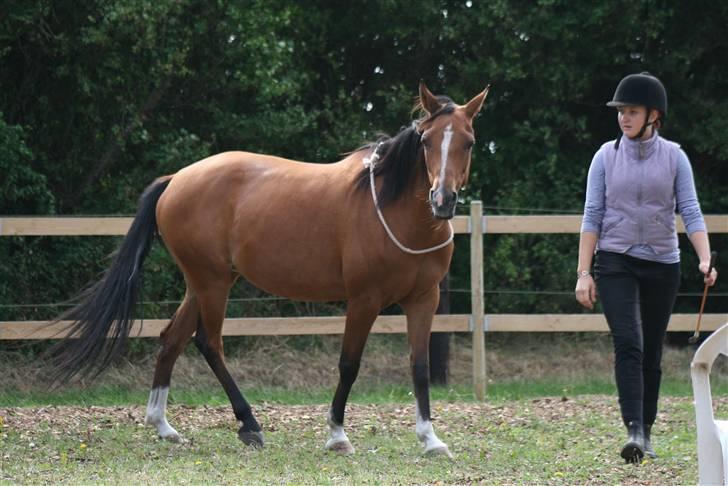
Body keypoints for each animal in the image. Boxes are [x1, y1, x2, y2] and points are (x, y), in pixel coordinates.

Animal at [52, 81, 490, 458]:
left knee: (171, 339)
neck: (391, 207)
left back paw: (163, 426)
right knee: (209, 343)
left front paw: (430, 439)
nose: (443, 200)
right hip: (212, 284)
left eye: (468, 142)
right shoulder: (363, 300)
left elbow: (420, 366)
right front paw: (337, 436)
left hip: (203, 283)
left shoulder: (423, 299)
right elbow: (349, 365)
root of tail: (176, 179)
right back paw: (249, 424)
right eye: (427, 142)